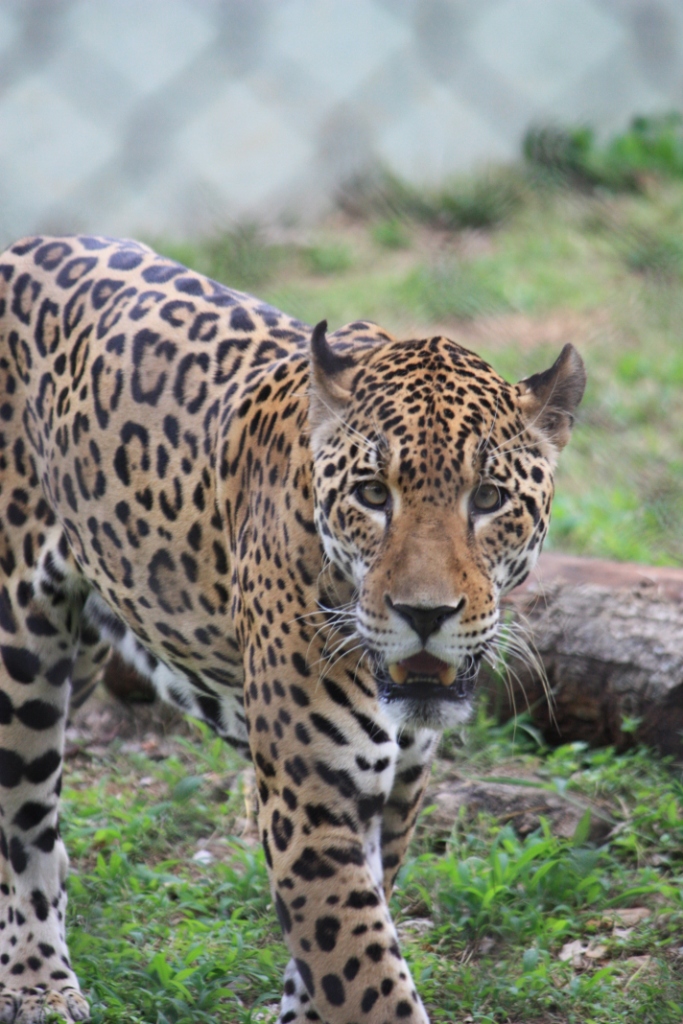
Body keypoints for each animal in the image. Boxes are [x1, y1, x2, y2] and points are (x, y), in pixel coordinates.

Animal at [0, 234, 586, 1024]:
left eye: (489, 498)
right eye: (372, 495)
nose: (425, 614)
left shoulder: (395, 796)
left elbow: (336, 958)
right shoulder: (311, 805)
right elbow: (369, 980)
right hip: (21, 659)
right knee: (25, 830)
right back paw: (39, 983)